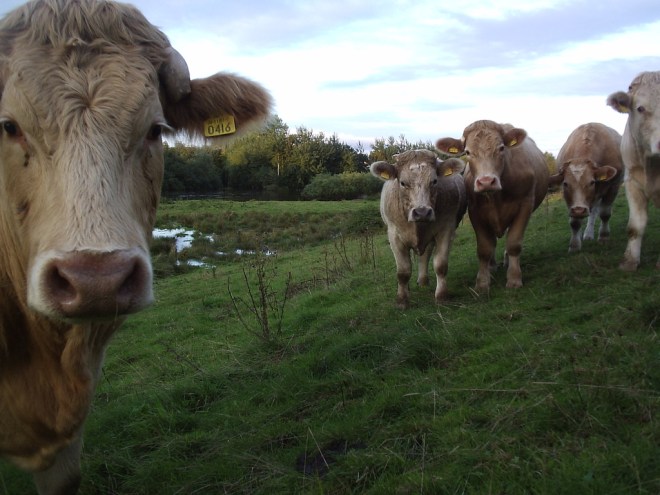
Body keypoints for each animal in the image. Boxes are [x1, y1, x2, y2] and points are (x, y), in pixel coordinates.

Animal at [370, 150, 467, 309]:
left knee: (425, 255)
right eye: (403, 183)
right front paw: (402, 300)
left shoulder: (446, 229)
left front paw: (442, 296)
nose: (422, 212)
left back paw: (423, 280)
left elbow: (440, 265)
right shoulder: (394, 235)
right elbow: (403, 271)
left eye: (434, 181)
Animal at [436, 120, 549, 292]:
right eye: (467, 152)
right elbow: (484, 248)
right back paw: (492, 266)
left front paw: (514, 278)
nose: (486, 181)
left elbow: (514, 243)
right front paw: (482, 282)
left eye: (501, 148)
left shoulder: (525, 205)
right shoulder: (475, 212)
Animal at [548, 123, 623, 252]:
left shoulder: (613, 186)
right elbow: (575, 222)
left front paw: (603, 237)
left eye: (592, 182)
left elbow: (605, 214)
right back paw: (587, 234)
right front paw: (574, 245)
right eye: (565, 183)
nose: (579, 210)